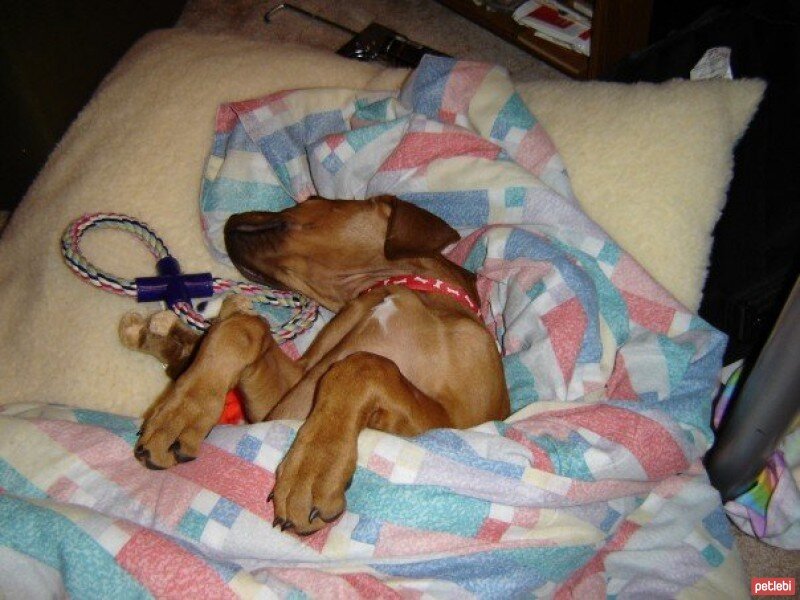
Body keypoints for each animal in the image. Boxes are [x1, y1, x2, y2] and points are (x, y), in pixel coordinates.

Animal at [130, 196, 506, 536]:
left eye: (310, 199)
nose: (229, 219)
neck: (392, 289)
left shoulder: (456, 422)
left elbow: (362, 365)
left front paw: (312, 471)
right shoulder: (279, 406)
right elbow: (243, 328)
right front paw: (178, 415)